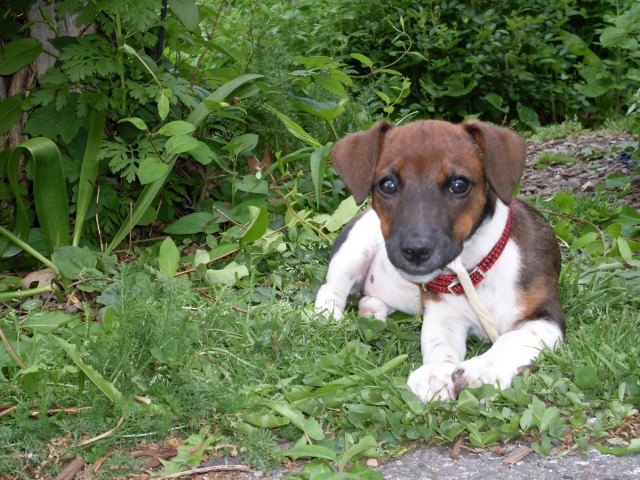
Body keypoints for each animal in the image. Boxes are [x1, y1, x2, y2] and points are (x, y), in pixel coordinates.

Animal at [316, 119, 564, 402]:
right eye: (388, 185)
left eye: (459, 185)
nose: (415, 250)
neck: (473, 272)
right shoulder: (443, 315)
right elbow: (439, 344)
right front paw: (436, 372)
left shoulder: (547, 319)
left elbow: (510, 340)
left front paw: (482, 371)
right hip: (354, 249)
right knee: (331, 288)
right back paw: (329, 314)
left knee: (370, 297)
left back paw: (372, 312)